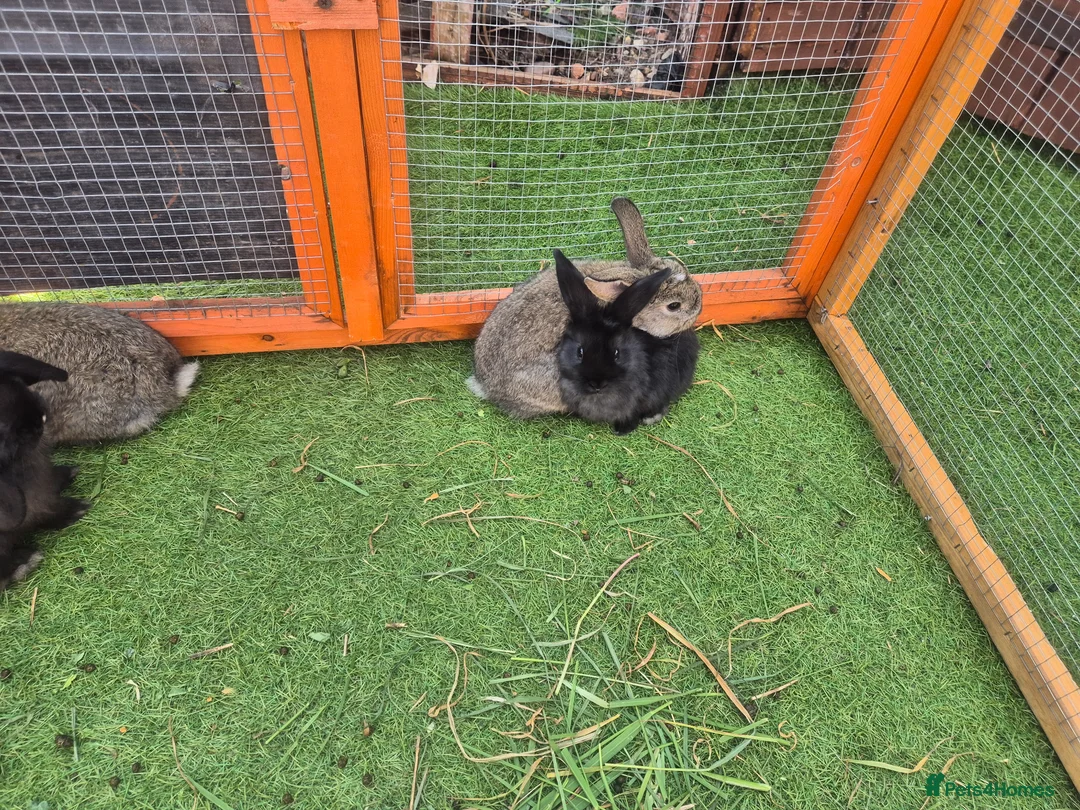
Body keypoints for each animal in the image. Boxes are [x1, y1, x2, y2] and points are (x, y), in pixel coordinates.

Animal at [0, 351, 90, 591]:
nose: (38, 419)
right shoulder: (34, 500)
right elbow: (47, 510)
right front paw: (76, 510)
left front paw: (67, 474)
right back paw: (24, 562)